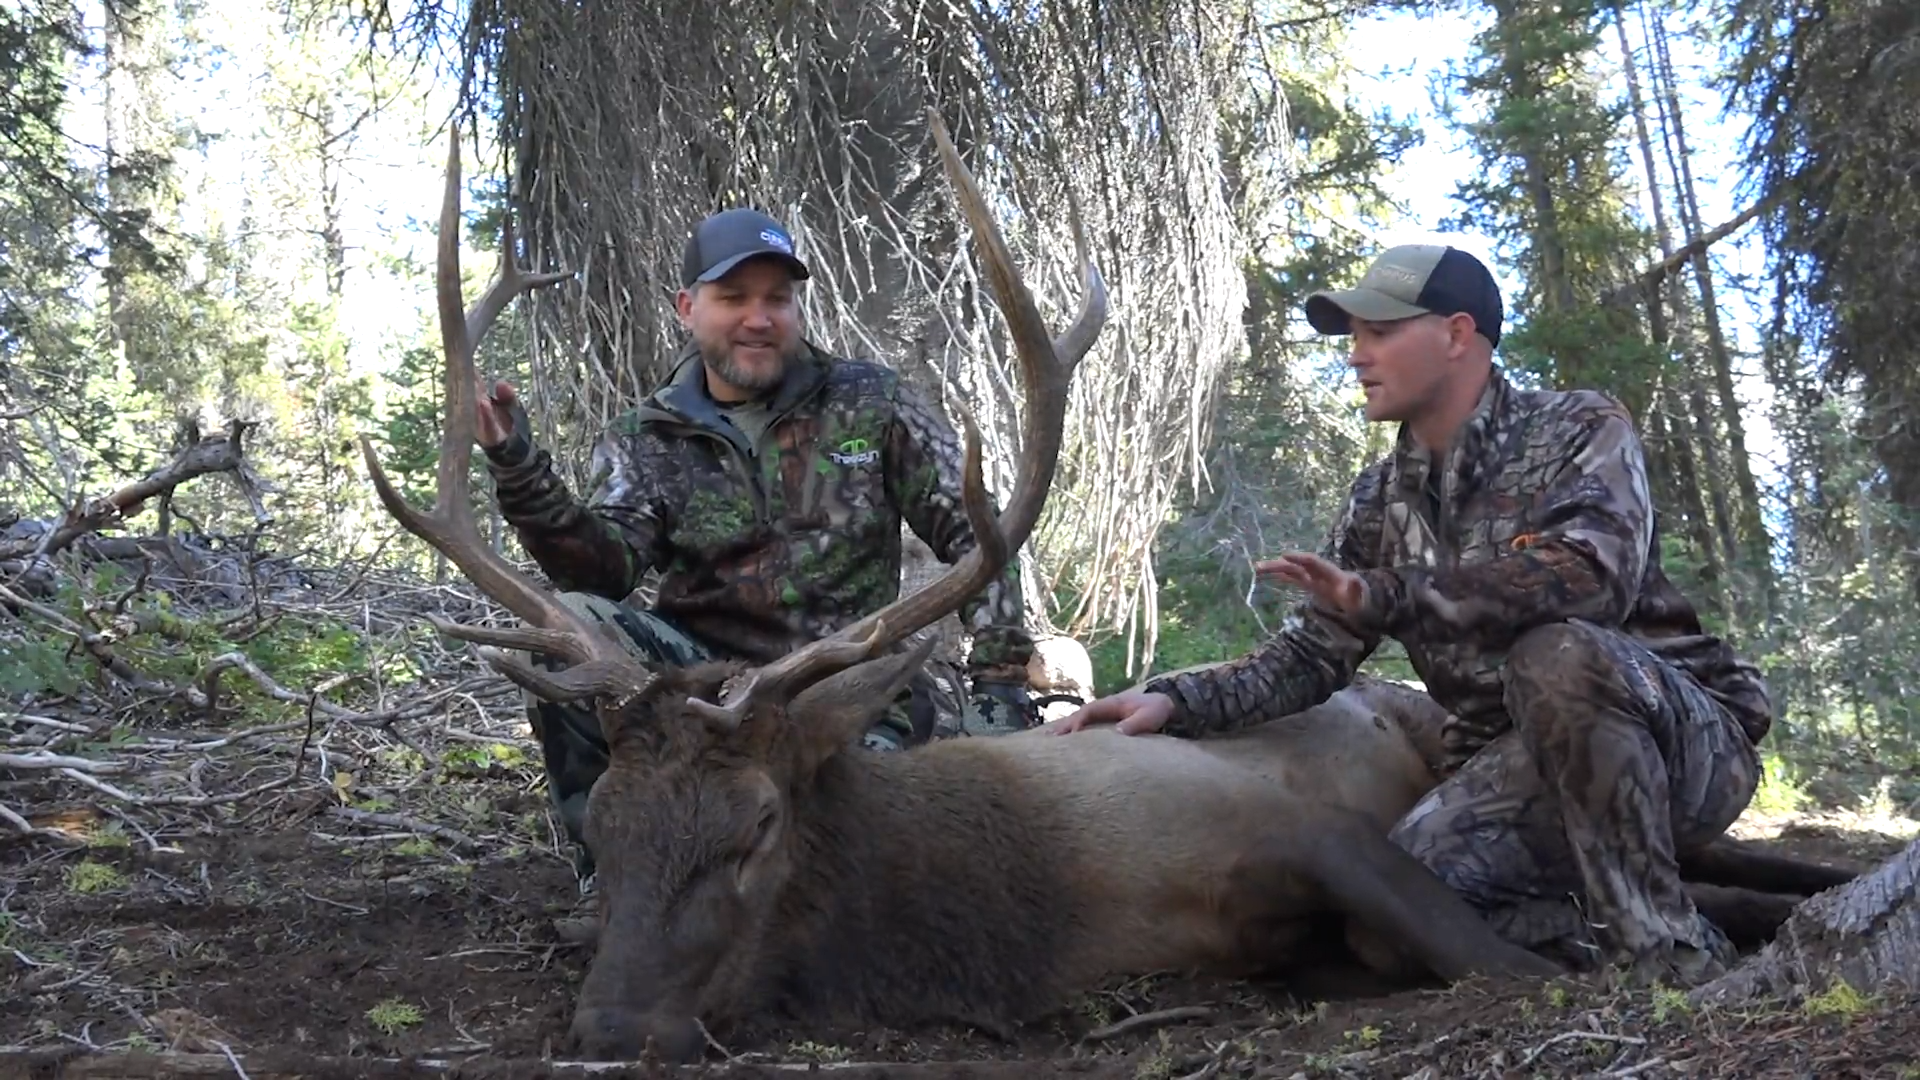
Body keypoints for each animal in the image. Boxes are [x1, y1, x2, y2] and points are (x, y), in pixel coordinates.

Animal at [358, 118, 1856, 1065]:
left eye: (755, 827)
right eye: (604, 828)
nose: (610, 1035)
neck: (1024, 922)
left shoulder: (1296, 828)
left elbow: (1488, 955)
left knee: (1727, 846)